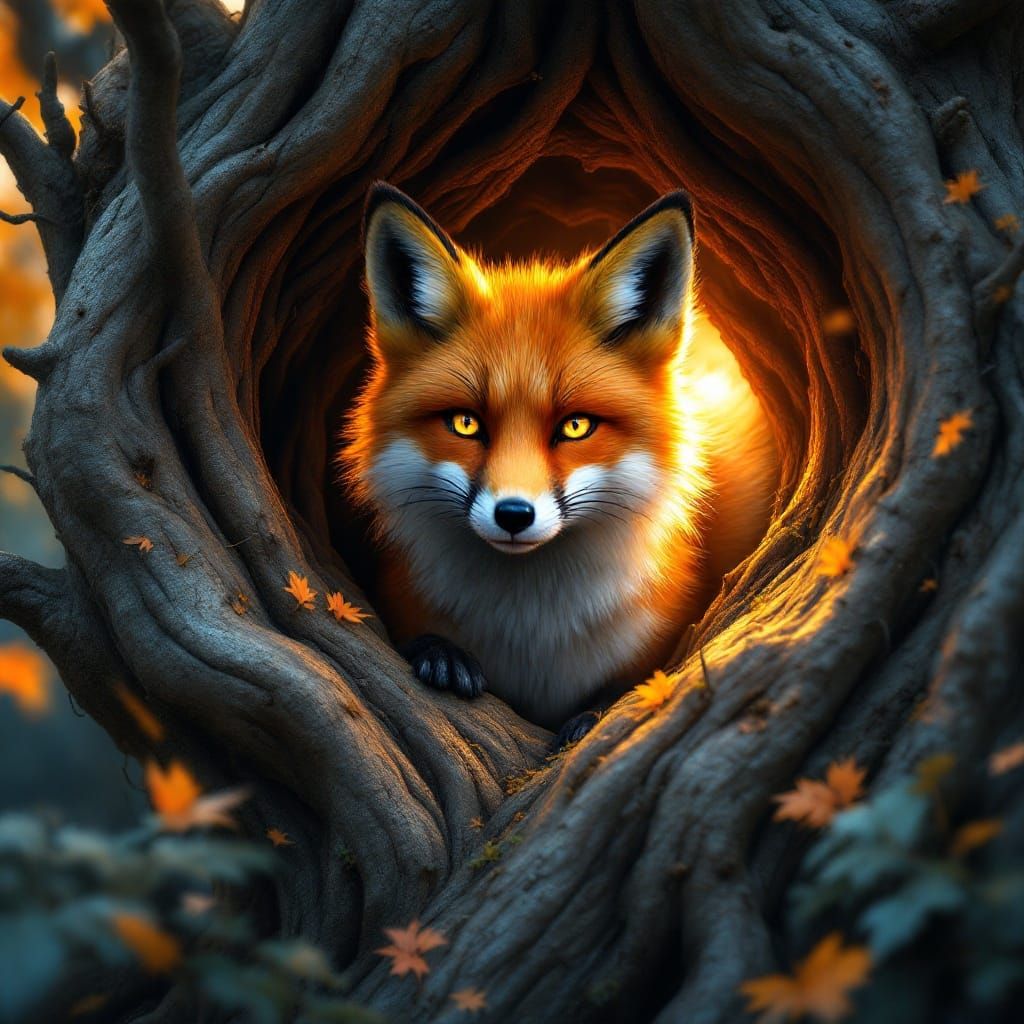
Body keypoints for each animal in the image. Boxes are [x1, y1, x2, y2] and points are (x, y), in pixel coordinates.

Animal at [342, 183, 776, 744]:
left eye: (575, 427)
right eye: (465, 423)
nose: (513, 515)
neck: (535, 634)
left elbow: (626, 685)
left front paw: (595, 713)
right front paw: (442, 655)